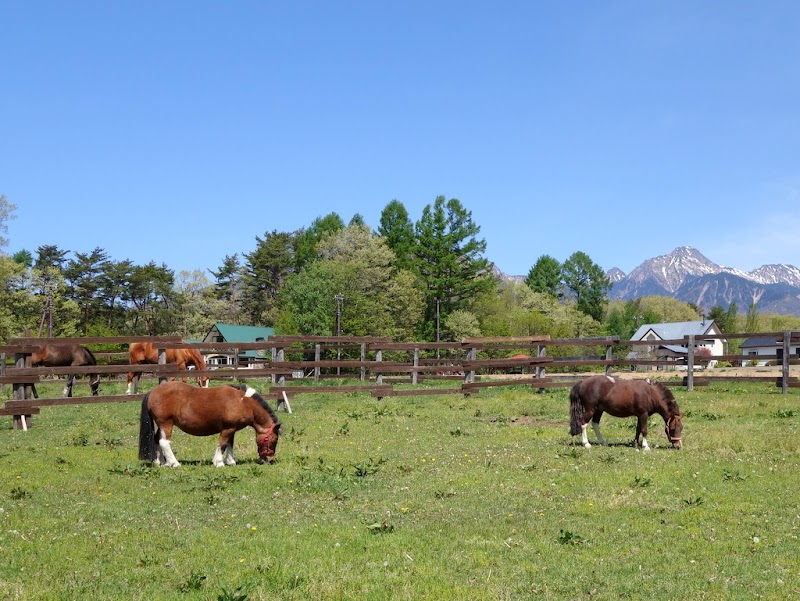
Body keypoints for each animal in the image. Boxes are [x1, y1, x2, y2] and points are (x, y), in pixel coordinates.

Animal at [139, 382, 282, 466]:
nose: (270, 460)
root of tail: (152, 392)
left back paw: (161, 462)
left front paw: (230, 461)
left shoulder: (232, 428)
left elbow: (230, 443)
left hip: (161, 425)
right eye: (273, 440)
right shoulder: (228, 428)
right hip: (166, 423)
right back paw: (174, 463)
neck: (243, 402)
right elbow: (223, 444)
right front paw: (219, 462)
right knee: (164, 442)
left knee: (157, 440)